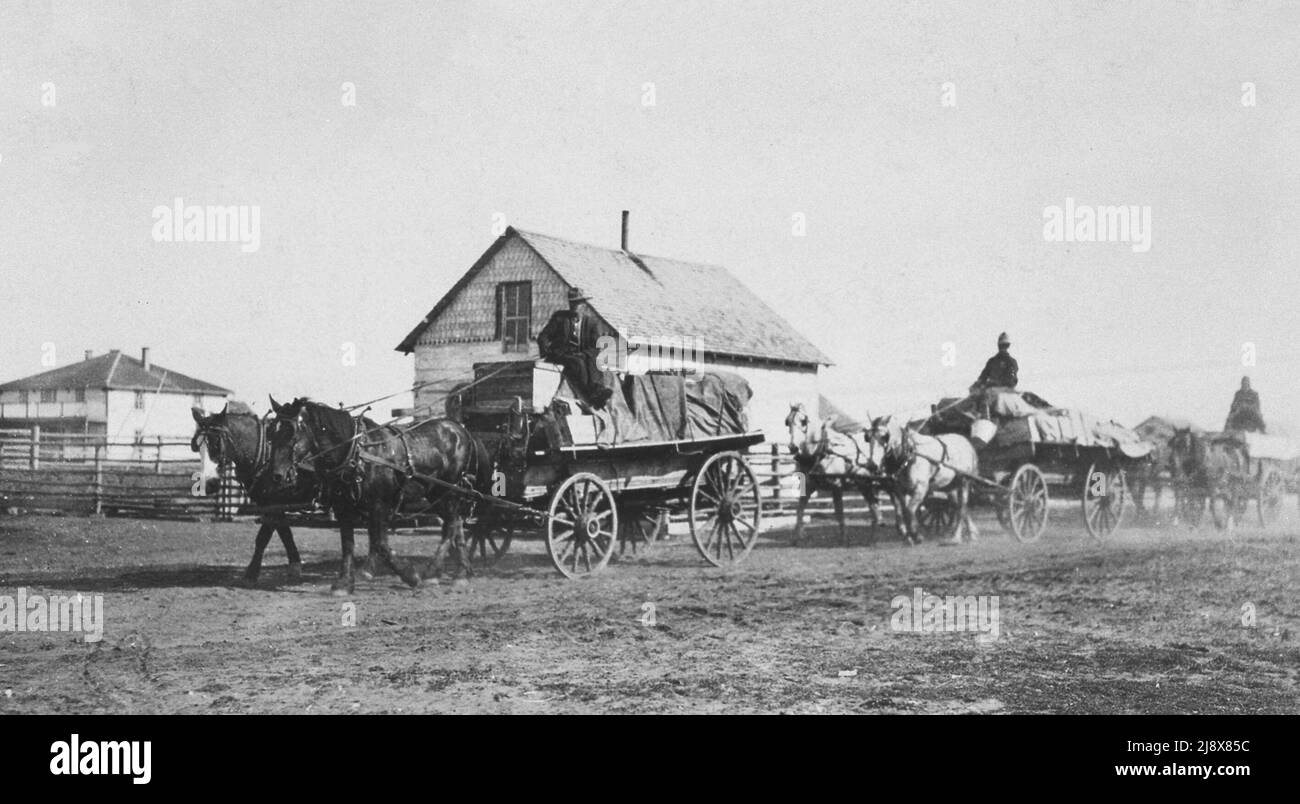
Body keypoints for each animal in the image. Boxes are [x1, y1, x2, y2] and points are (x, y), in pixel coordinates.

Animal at [189, 400, 313, 582]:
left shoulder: (274, 502)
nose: (208, 483)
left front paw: (252, 572)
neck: (266, 455)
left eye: (216, 444)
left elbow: (263, 536)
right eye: (196, 446)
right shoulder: (271, 503)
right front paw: (295, 564)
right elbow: (284, 532)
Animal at [266, 398, 488, 590]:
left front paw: (410, 575)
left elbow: (380, 543)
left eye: (292, 432)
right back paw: (461, 573)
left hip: (448, 490)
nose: (277, 475)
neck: (357, 453)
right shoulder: (343, 507)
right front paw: (344, 583)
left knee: (450, 526)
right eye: (271, 432)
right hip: (437, 495)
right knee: (456, 524)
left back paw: (433, 573)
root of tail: (461, 429)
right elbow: (348, 544)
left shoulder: (378, 504)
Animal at [785, 400, 889, 543]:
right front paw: (797, 537)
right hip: (866, 485)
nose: (793, 447)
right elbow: (799, 510)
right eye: (787, 421)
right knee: (875, 509)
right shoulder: (809, 486)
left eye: (804, 421)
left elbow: (839, 512)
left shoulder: (836, 486)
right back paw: (873, 537)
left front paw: (843, 538)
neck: (820, 451)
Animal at [868, 413, 977, 543]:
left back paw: (956, 537)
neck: (909, 456)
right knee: (957, 505)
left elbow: (910, 510)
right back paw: (972, 532)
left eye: (884, 436)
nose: (872, 465)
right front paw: (909, 536)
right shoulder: (900, 490)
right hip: (950, 486)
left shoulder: (920, 488)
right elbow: (904, 511)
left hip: (964, 481)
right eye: (867, 438)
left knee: (962, 507)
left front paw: (916, 535)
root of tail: (966, 443)